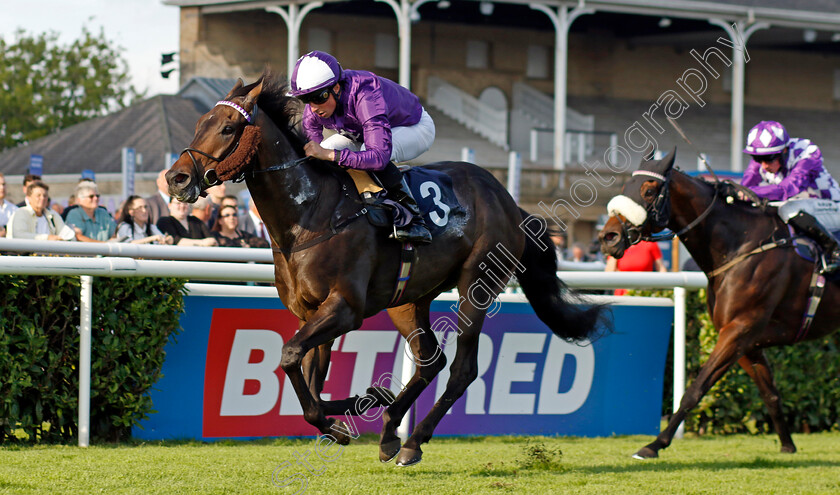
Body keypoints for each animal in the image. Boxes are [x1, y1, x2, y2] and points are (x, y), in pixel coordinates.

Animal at [166, 69, 612, 464]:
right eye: (200, 123)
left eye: (227, 128)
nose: (176, 178)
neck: (307, 217)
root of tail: (510, 202)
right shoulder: (312, 312)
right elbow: (311, 379)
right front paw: (359, 406)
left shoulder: (345, 308)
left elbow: (292, 357)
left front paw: (342, 419)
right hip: (408, 299)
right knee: (431, 358)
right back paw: (389, 431)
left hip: (477, 285)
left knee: (462, 369)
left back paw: (413, 441)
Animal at [596, 151, 840, 462]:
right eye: (626, 186)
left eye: (649, 191)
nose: (608, 238)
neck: (741, 245)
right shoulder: (747, 339)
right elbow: (770, 393)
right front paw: (788, 445)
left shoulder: (739, 330)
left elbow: (695, 389)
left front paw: (654, 444)